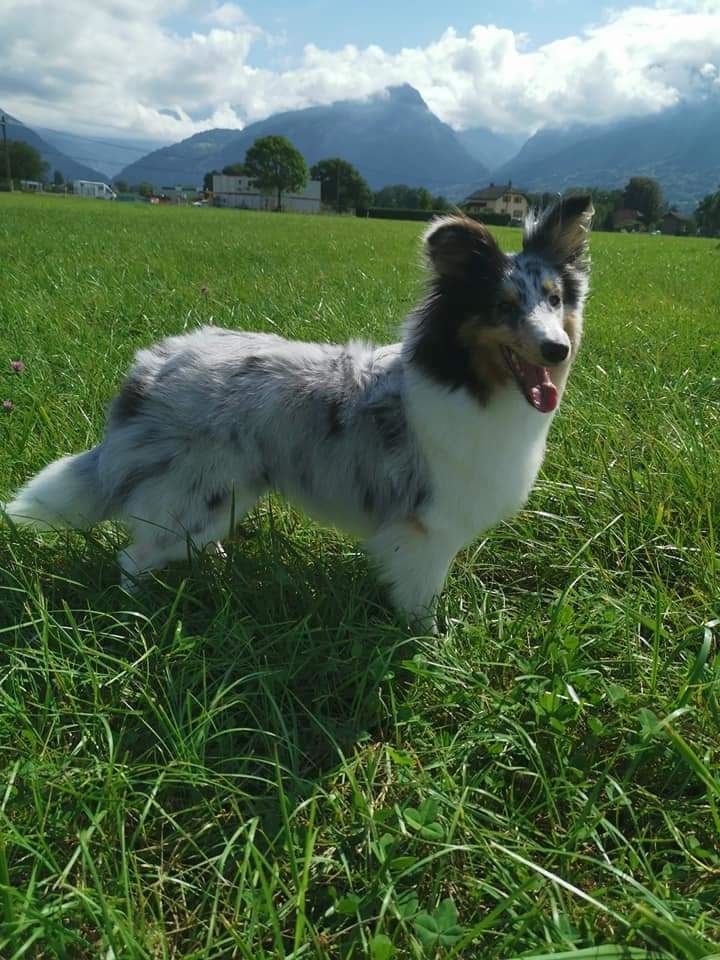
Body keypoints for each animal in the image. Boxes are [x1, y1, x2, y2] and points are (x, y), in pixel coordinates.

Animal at [5, 195, 592, 632]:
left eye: (555, 299)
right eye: (503, 307)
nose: (556, 349)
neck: (468, 382)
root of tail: (152, 367)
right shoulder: (427, 528)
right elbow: (421, 601)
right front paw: (430, 645)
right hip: (195, 497)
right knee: (132, 560)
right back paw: (136, 613)